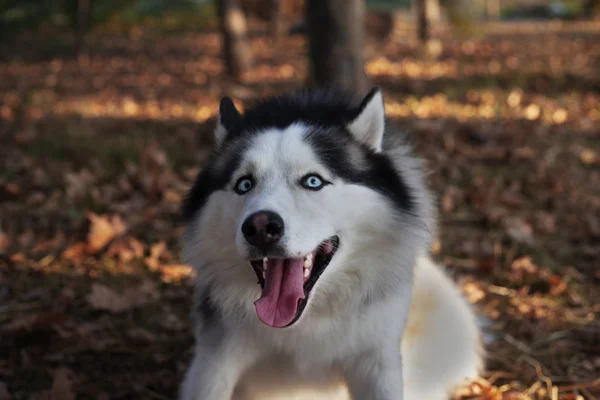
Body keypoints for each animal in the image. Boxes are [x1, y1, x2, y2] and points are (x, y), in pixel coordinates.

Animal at [178, 88, 482, 400]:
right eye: (244, 184)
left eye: (313, 181)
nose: (260, 227)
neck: (307, 322)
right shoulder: (215, 359)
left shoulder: (377, 360)